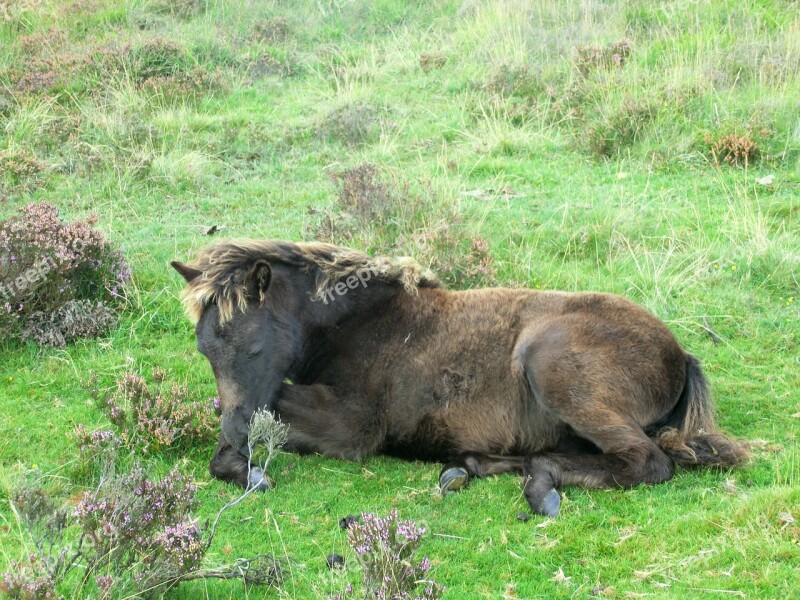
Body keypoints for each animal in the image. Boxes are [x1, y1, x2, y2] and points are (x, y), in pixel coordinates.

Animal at [172, 239, 748, 516]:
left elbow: (272, 413)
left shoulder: (354, 425)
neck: (363, 322)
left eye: (254, 348)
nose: (237, 437)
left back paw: (538, 485)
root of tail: (680, 354)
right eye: (204, 350)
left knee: (645, 462)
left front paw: (246, 467)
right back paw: (472, 467)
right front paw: (242, 461)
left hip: (551, 366)